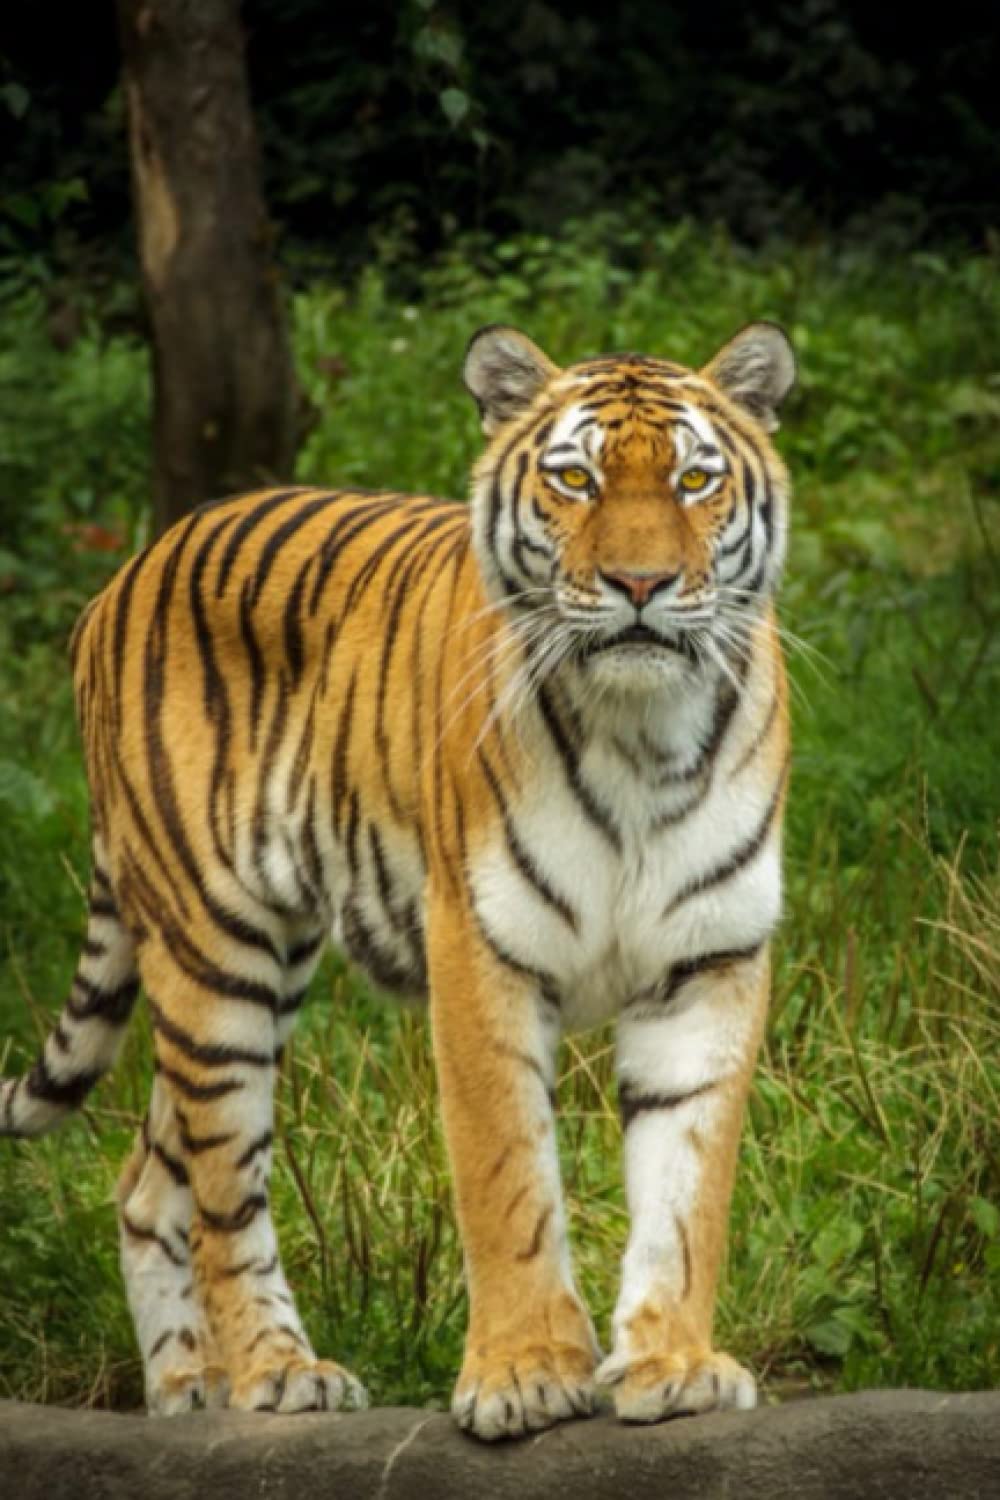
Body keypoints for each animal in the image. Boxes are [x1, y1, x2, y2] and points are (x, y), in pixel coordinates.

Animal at [0, 320, 794, 1439]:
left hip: (251, 969)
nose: (640, 585)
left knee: (152, 1180)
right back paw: (277, 1374)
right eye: (576, 479)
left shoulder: (709, 961)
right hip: (214, 954)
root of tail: (124, 574)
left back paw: (185, 1391)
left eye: (693, 480)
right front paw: (525, 1374)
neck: (642, 735)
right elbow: (506, 1177)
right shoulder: (481, 947)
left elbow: (689, 1188)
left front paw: (672, 1365)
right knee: (223, 1189)